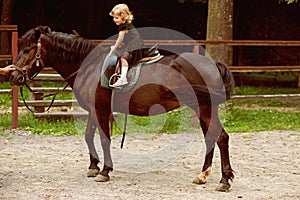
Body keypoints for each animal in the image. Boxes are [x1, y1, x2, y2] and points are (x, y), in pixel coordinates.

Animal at [11, 25, 234, 191]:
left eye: (27, 50)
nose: (14, 76)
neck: (89, 67)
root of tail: (212, 63)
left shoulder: (100, 110)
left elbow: (104, 139)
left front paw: (104, 171)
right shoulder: (94, 110)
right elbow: (89, 136)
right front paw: (93, 167)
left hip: (205, 108)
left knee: (221, 137)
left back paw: (224, 181)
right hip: (203, 108)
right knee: (211, 138)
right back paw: (203, 175)